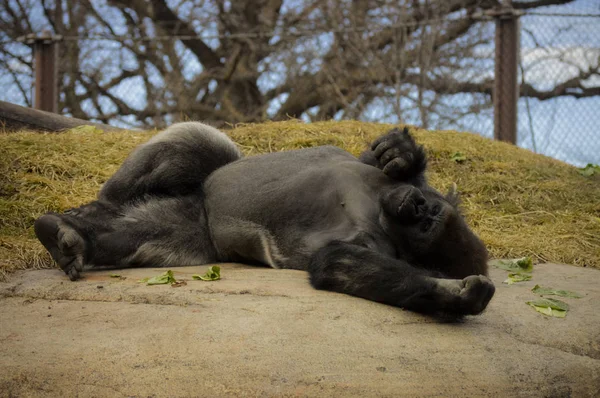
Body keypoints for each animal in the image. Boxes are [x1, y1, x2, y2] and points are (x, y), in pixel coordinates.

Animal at [32, 123, 494, 316]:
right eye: (429, 211)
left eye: (427, 227)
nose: (416, 208)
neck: (382, 208)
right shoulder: (395, 186)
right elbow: (380, 162)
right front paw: (403, 153)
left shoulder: (375, 243)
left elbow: (340, 264)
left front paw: (449, 296)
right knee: (193, 144)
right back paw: (95, 210)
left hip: (192, 231)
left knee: (145, 229)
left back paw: (75, 239)